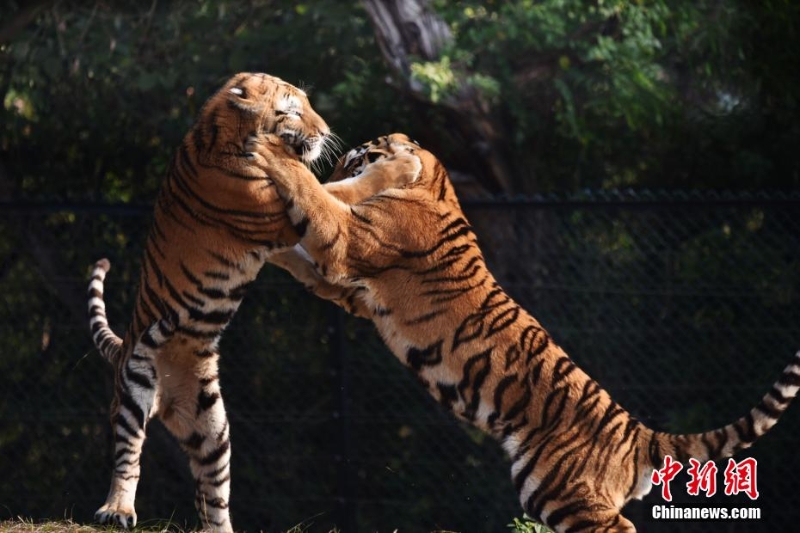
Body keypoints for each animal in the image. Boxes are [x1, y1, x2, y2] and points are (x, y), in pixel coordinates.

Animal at [86, 72, 418, 528]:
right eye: (292, 110)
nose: (326, 132)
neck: (226, 136)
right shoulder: (277, 214)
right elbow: (344, 189)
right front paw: (403, 165)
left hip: (211, 426)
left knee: (212, 492)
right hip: (136, 385)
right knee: (128, 454)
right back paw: (116, 509)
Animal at [245, 132, 800, 532]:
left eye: (353, 158)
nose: (338, 166)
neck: (435, 181)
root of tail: (635, 432)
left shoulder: (346, 245)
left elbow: (314, 202)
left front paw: (272, 159)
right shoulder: (348, 291)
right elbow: (295, 253)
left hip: (563, 490)